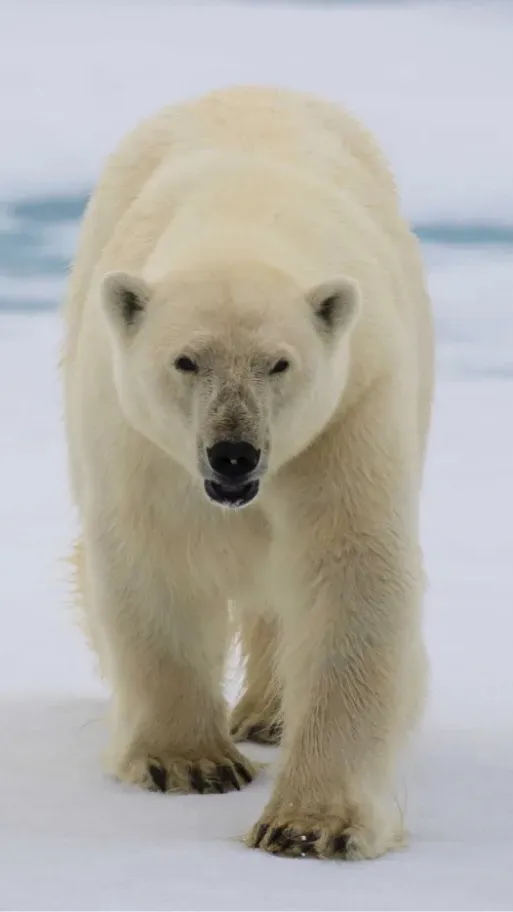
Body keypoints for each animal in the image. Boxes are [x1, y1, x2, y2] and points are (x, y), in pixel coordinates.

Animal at [62, 85, 434, 860]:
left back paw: (269, 714)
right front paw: (190, 763)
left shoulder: (348, 410)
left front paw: (311, 824)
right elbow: (154, 555)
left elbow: (352, 566)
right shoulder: (137, 434)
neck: (244, 218)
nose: (233, 453)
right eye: (186, 360)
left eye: (278, 363)